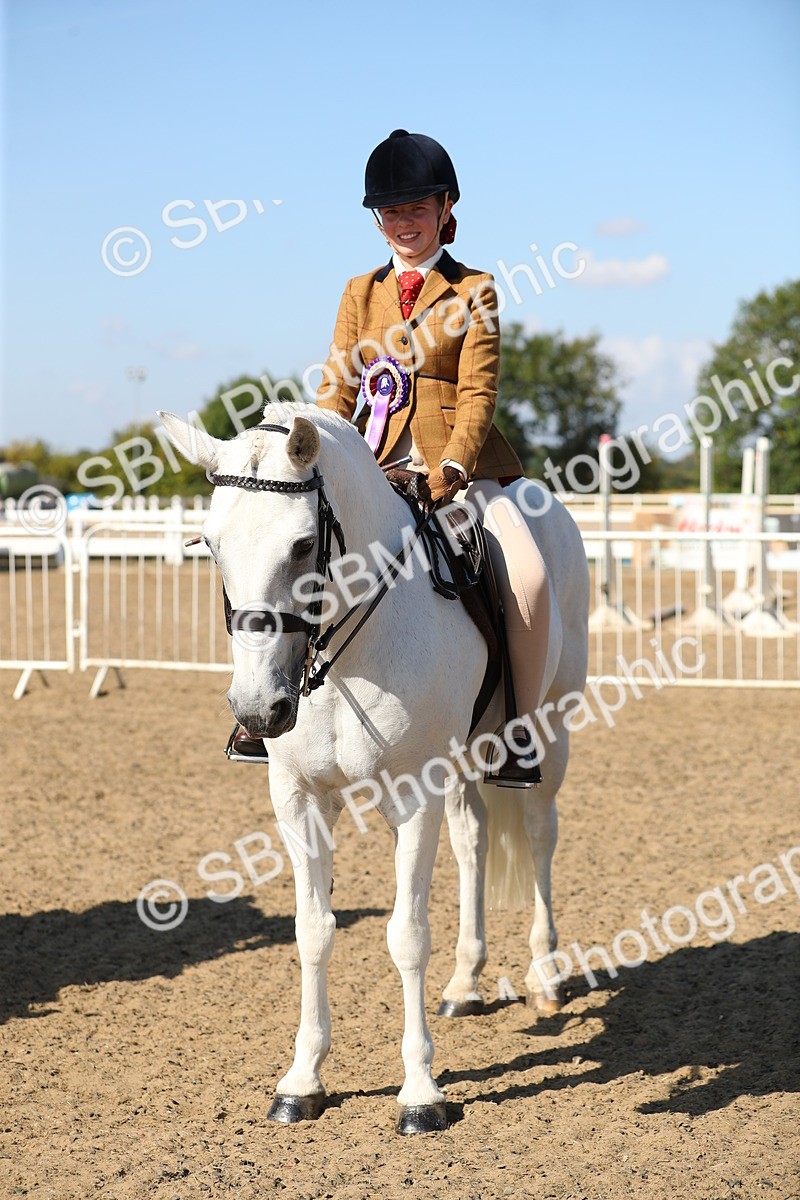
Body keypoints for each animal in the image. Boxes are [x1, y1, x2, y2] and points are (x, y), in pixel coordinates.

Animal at [159, 402, 589, 1135]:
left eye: (303, 546)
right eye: (212, 546)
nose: (259, 709)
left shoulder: (412, 795)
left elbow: (406, 935)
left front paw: (421, 1093)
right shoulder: (298, 798)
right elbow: (313, 931)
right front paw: (302, 1081)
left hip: (548, 732)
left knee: (539, 836)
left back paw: (545, 976)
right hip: (460, 761)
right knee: (473, 841)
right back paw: (466, 984)